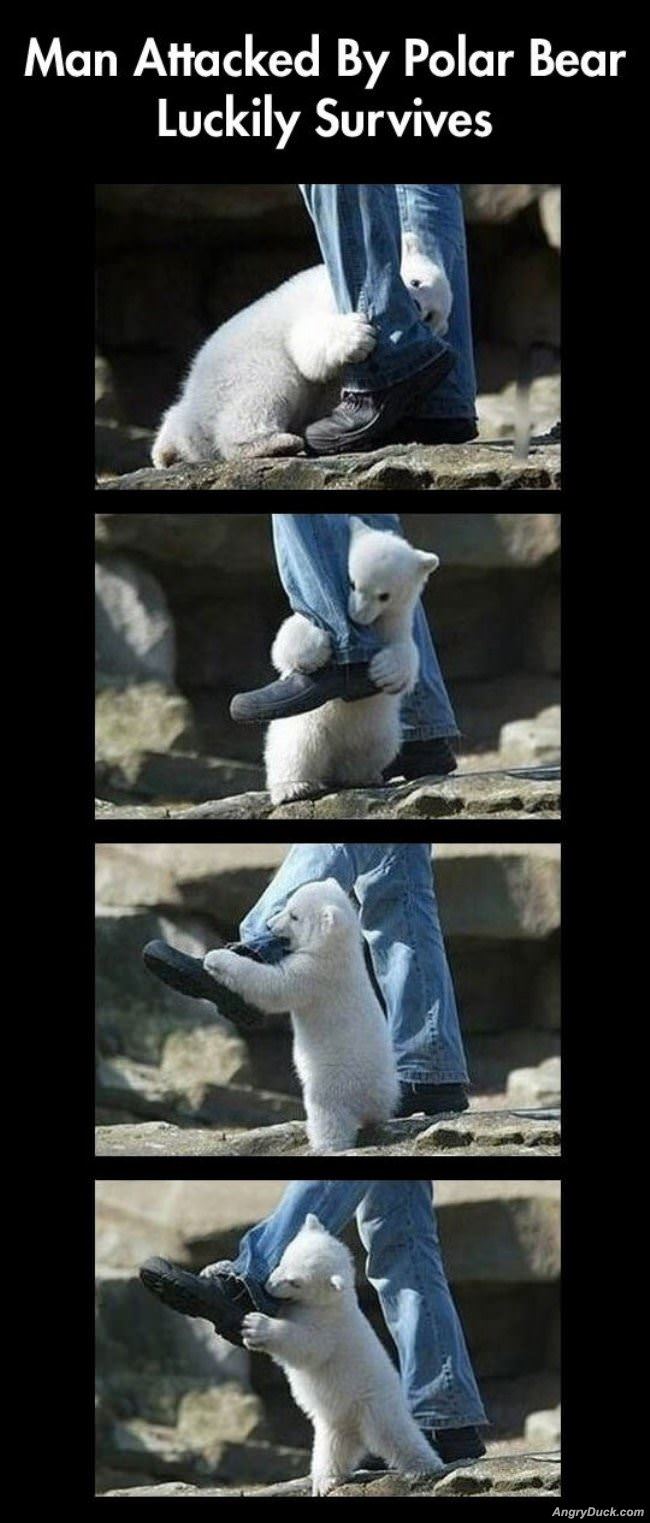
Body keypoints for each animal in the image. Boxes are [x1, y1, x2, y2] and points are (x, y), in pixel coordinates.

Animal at [151, 233, 452, 465]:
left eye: (429, 317)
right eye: (416, 281)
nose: (416, 306)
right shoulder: (323, 299)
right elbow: (306, 343)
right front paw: (358, 334)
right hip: (240, 368)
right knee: (268, 386)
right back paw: (273, 443)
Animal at [203, 878, 400, 1153]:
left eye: (294, 916)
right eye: (287, 906)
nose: (270, 925)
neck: (337, 950)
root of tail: (374, 1096)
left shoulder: (315, 973)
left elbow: (273, 985)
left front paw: (216, 957)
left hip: (336, 1078)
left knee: (327, 1110)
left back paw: (324, 1145)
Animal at [241, 1213, 444, 1496]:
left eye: (296, 1281)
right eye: (283, 1259)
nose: (269, 1285)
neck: (332, 1301)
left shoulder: (330, 1327)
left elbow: (308, 1346)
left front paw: (254, 1326)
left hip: (375, 1403)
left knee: (395, 1434)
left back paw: (427, 1466)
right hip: (337, 1418)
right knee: (333, 1446)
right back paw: (325, 1481)